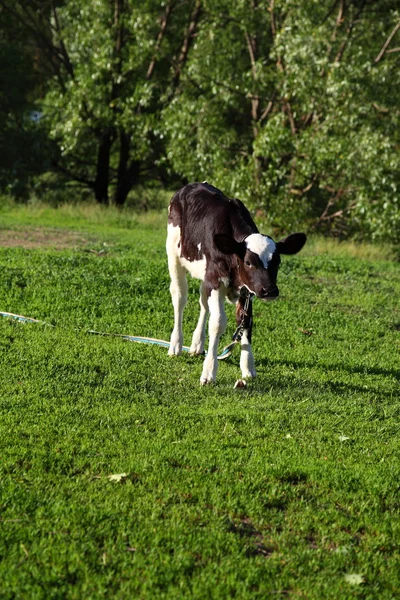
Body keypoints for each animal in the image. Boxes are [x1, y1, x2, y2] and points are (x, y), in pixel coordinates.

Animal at [166, 183, 306, 386]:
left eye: (278, 262)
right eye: (248, 262)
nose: (270, 290)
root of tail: (191, 185)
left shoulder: (244, 289)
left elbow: (245, 320)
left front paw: (248, 367)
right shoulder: (216, 279)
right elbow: (217, 322)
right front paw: (209, 371)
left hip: (205, 273)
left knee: (203, 301)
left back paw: (197, 344)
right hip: (174, 254)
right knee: (179, 297)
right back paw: (176, 345)